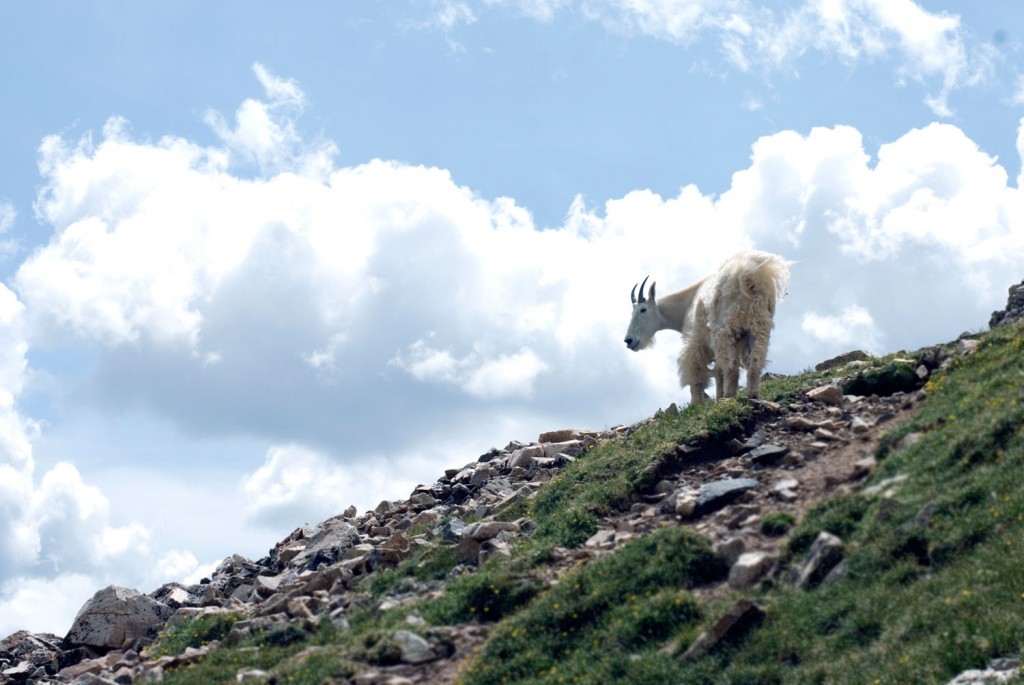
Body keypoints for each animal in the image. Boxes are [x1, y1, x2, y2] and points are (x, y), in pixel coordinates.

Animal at [618, 249, 786, 401]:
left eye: (643, 309)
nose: (629, 340)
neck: (686, 304)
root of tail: (746, 274)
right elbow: (718, 372)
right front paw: (717, 396)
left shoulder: (696, 341)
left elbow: (696, 375)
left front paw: (697, 403)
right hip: (758, 326)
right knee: (755, 360)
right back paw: (751, 394)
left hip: (725, 329)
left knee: (731, 365)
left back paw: (729, 396)